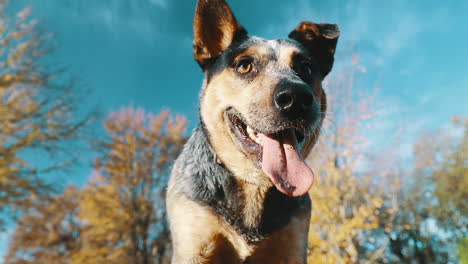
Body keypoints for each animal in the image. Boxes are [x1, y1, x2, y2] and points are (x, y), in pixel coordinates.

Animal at [166, 1, 338, 262]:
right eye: (244, 65)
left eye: (306, 68)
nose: (297, 99)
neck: (255, 183)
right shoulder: (193, 242)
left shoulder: (292, 244)